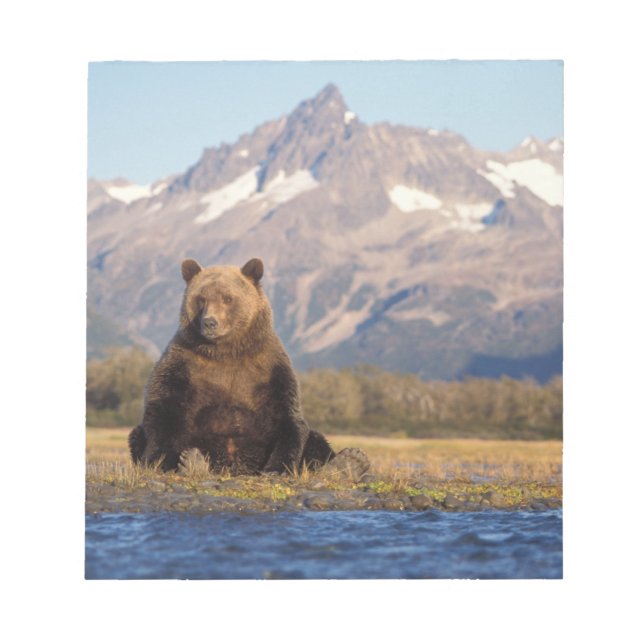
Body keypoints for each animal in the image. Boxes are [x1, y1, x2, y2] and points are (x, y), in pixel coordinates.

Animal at [129, 257, 369, 482]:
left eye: (228, 298)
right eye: (201, 298)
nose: (210, 322)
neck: (226, 351)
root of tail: (237, 468)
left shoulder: (268, 368)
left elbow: (286, 417)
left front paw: (277, 468)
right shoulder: (184, 364)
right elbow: (164, 410)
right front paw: (163, 462)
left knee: (316, 439)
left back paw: (350, 462)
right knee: (137, 434)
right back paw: (193, 462)